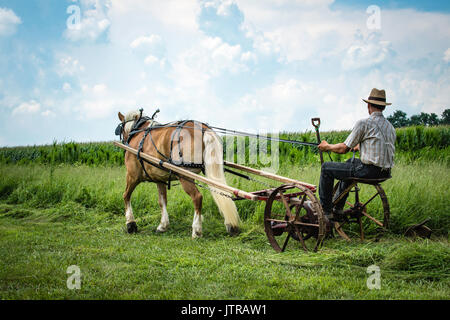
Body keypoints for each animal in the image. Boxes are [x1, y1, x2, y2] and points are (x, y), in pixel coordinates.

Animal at [118, 110, 241, 238]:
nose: (124, 141)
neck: (138, 132)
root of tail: (204, 128)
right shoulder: (160, 179)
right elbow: (162, 201)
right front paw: (163, 225)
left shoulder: (132, 176)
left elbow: (126, 195)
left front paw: (131, 224)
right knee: (222, 193)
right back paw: (230, 225)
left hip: (184, 176)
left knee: (197, 197)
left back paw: (196, 230)